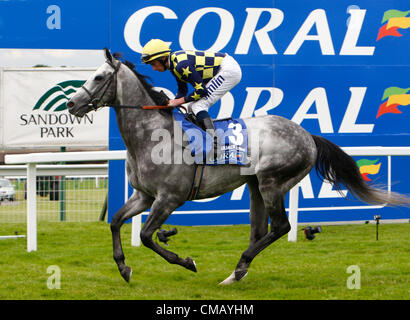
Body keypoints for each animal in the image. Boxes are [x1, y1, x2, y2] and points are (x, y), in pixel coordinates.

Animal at [66, 48, 406, 284]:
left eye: (98, 77)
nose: (71, 103)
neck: (151, 136)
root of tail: (307, 135)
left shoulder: (169, 198)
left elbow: (149, 236)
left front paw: (187, 262)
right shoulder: (144, 196)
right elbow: (115, 222)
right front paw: (124, 267)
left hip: (272, 181)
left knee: (281, 227)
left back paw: (239, 267)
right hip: (256, 185)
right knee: (260, 230)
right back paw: (236, 272)